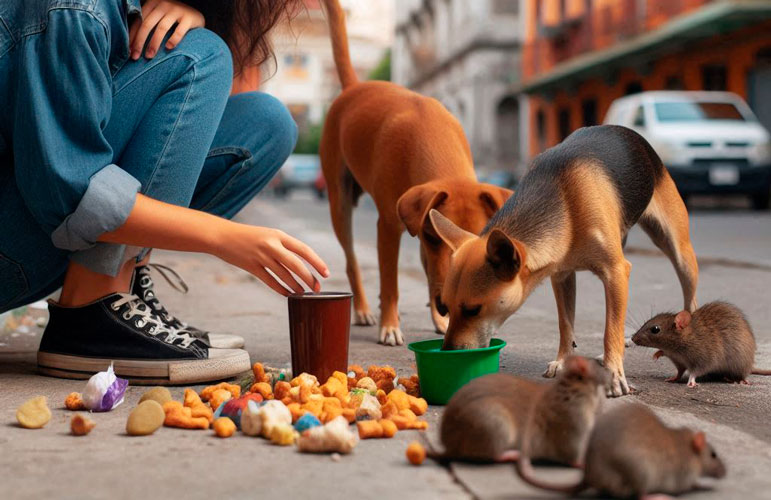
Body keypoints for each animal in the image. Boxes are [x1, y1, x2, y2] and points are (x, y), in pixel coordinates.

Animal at [320, 0, 512, 344]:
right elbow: (390, 283)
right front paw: (390, 325)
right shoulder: (392, 227)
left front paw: (440, 321)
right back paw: (364, 310)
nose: (446, 306)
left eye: (477, 241)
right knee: (352, 261)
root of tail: (355, 86)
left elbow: (431, 276)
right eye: (434, 239)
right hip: (339, 202)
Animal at [432, 125, 704, 394]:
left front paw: (614, 374)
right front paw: (563, 361)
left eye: (473, 310)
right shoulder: (561, 277)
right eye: (444, 307)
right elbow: (566, 324)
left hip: (678, 251)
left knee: (688, 298)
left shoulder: (615, 272)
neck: (562, 198)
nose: (448, 351)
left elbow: (611, 331)